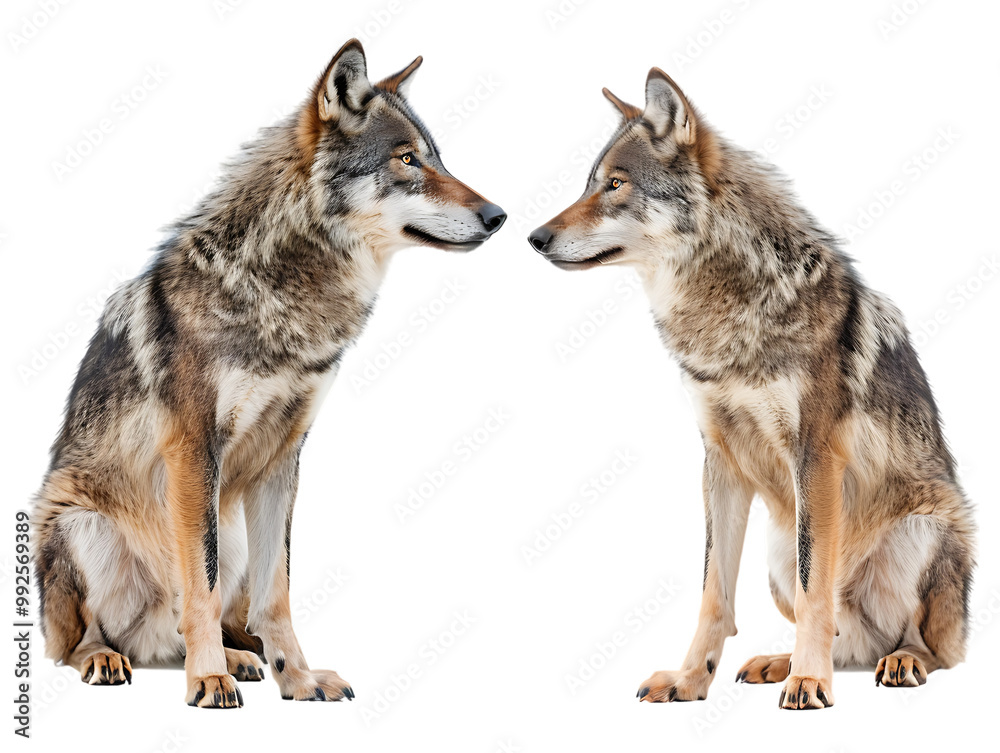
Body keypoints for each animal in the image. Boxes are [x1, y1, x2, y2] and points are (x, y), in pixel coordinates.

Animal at [31, 39, 505, 708]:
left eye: (437, 157)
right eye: (408, 159)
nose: (498, 215)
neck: (284, 294)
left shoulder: (284, 455)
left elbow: (275, 591)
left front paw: (297, 679)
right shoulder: (194, 451)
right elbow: (201, 587)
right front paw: (207, 680)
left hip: (227, 529)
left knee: (187, 627)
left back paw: (237, 658)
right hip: (84, 524)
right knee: (77, 643)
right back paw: (115, 658)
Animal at [529, 69, 974, 709]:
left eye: (614, 184)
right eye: (589, 184)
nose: (534, 236)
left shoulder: (815, 457)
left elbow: (816, 590)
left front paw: (810, 683)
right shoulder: (720, 460)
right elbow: (714, 592)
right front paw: (691, 679)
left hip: (919, 532)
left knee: (926, 647)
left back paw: (895, 662)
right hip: (776, 555)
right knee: (847, 639)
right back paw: (779, 662)